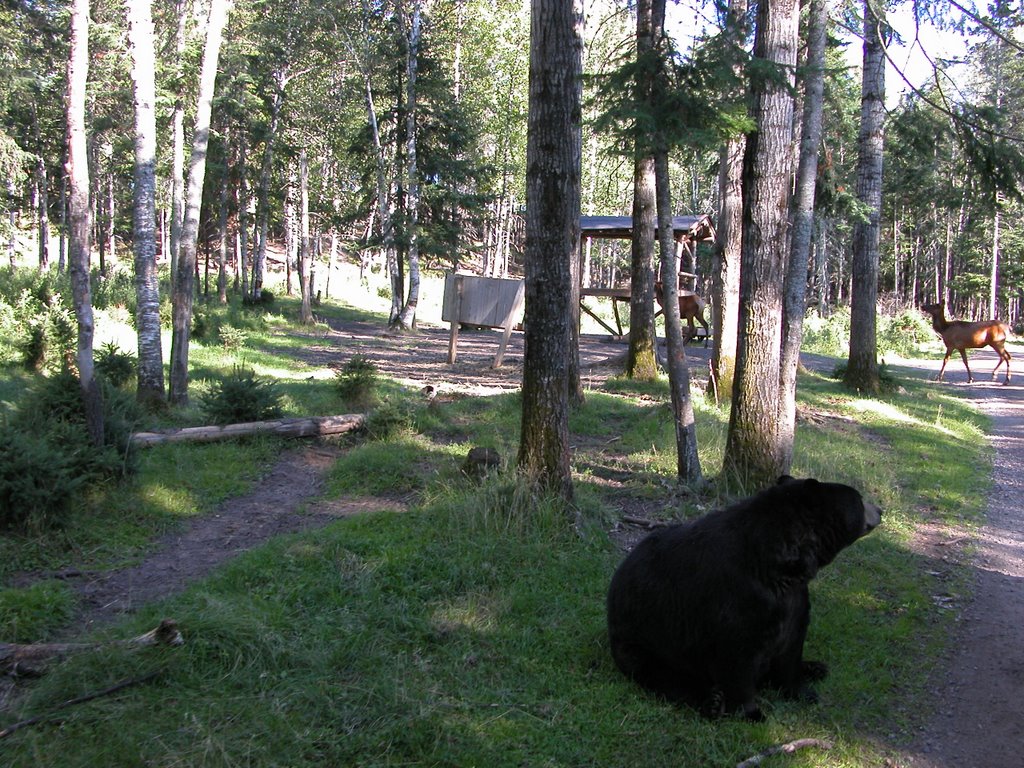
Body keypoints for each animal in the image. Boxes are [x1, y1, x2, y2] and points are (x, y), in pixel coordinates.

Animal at [606, 475, 880, 720]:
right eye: (859, 498)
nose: (879, 509)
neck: (777, 565)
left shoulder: (792, 598)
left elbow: (792, 646)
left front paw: (803, 691)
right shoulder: (736, 596)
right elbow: (738, 655)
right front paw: (751, 712)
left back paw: (815, 667)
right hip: (643, 641)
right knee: (661, 674)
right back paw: (712, 702)